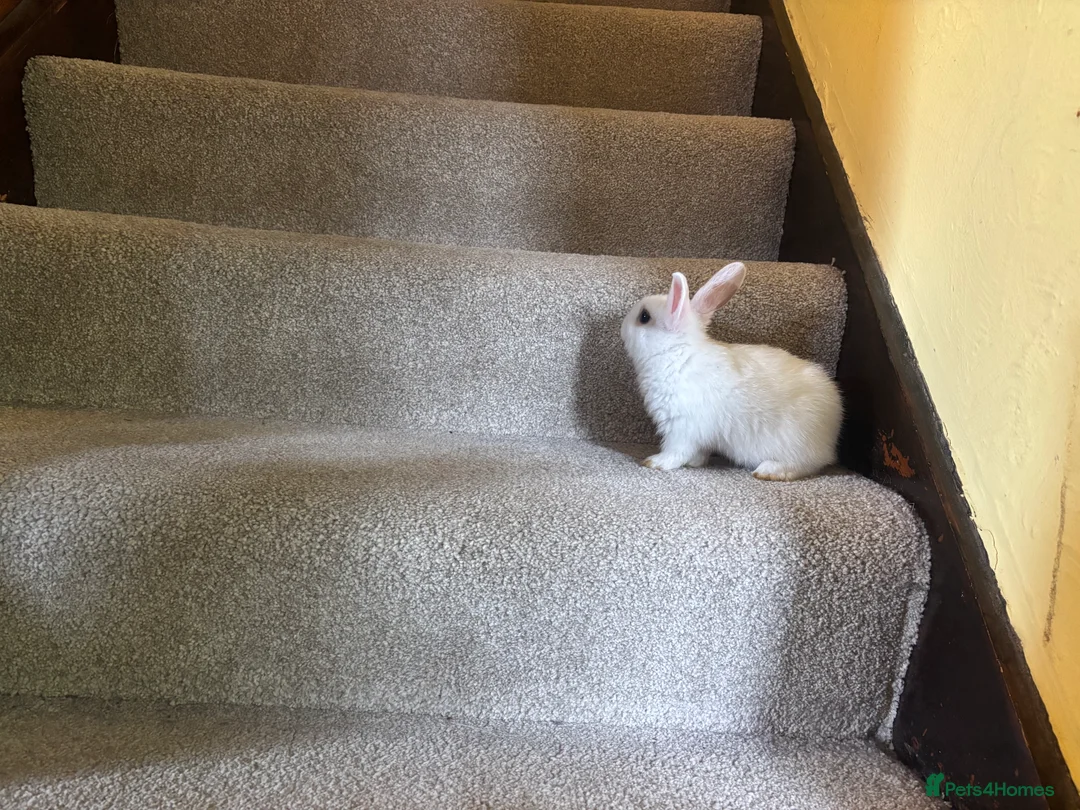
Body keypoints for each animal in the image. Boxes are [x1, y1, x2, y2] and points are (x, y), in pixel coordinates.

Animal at [620, 262, 842, 481]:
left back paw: (768, 470)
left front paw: (655, 462)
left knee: (804, 465)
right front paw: (696, 462)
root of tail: (832, 430)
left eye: (644, 317)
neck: (677, 354)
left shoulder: (682, 426)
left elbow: (676, 451)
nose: (622, 327)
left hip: (792, 442)